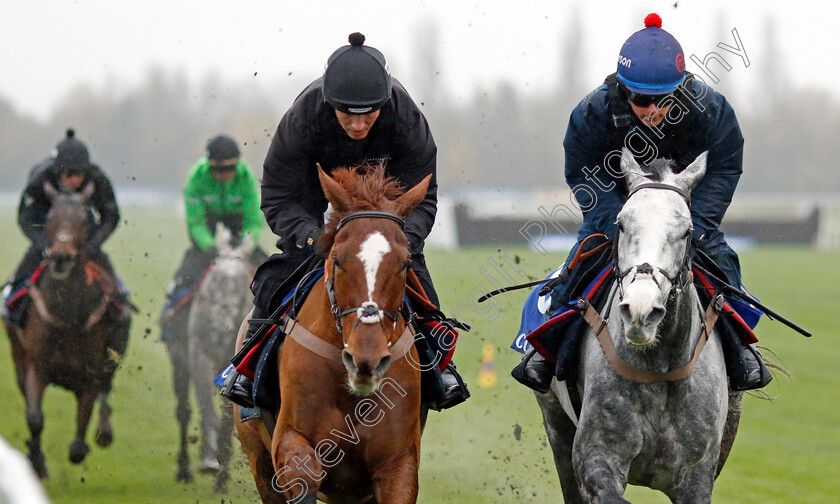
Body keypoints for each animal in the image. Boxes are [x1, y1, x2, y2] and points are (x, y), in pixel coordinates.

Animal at [2, 183, 130, 478]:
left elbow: (85, 413)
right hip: (17, 353)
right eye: (50, 217)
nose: (61, 256)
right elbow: (34, 417)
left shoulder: (90, 374)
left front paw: (79, 448)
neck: (68, 316)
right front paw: (37, 462)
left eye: (83, 219)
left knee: (106, 391)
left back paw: (104, 431)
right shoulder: (37, 366)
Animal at [236, 163, 434, 502]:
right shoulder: (287, 441)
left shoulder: (398, 463)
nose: (366, 359)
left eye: (405, 263)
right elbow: (304, 471)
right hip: (256, 453)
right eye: (337, 259)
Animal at [536, 150, 744, 504]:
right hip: (555, 421)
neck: (659, 371)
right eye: (621, 223)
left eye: (687, 231)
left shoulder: (697, 475)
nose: (640, 310)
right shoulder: (595, 456)